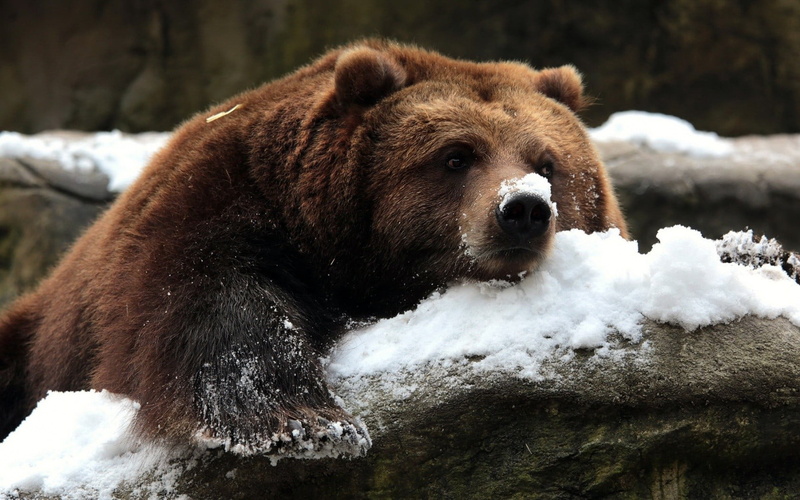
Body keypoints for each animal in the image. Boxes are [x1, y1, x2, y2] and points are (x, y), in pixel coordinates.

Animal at [0, 40, 627, 456]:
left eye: (547, 164)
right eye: (456, 155)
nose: (523, 210)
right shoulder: (224, 198)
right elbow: (211, 300)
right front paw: (306, 423)